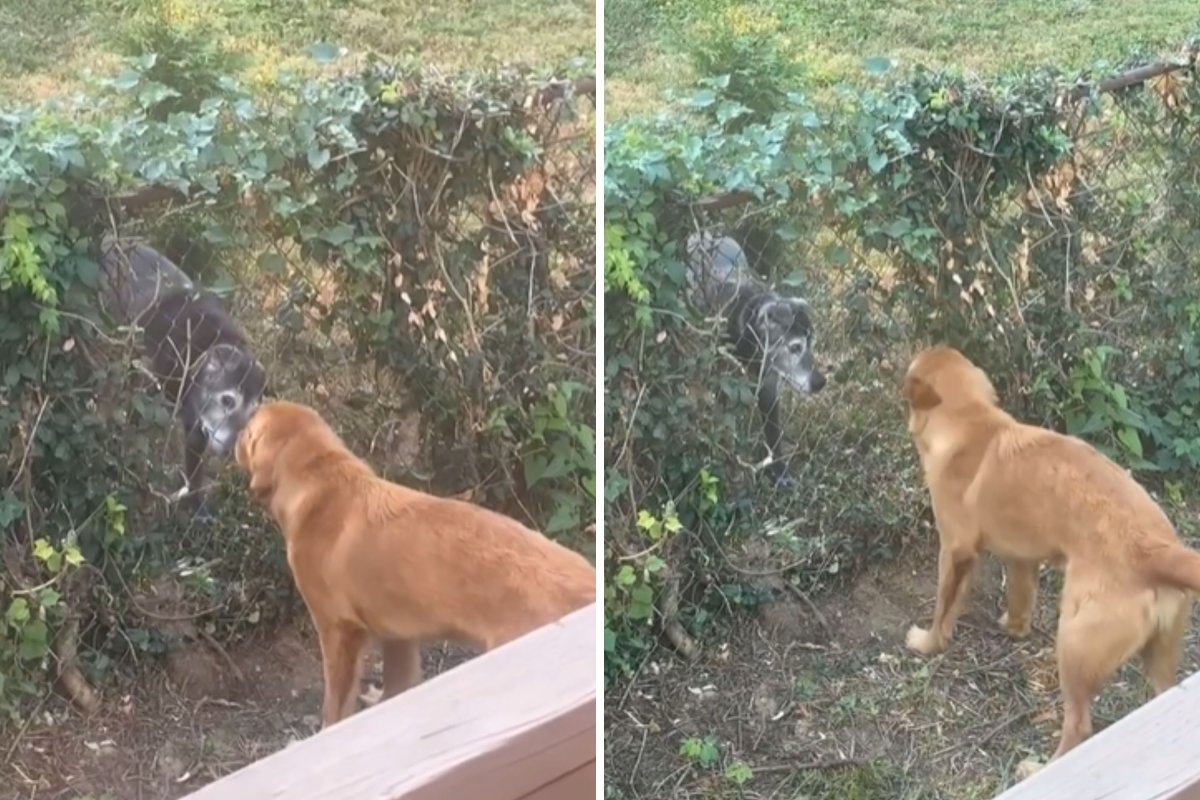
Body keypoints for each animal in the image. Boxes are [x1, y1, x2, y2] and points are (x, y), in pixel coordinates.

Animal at [99, 232, 267, 520]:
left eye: (252, 411)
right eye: (227, 400)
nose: (231, 447)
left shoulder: (197, 427)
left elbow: (194, 470)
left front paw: (198, 507)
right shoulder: (151, 386)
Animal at [234, 398, 595, 724]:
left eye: (250, 427)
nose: (235, 427)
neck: (324, 485)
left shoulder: (338, 628)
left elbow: (335, 708)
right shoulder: (398, 635)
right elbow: (399, 687)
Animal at [686, 227, 825, 484]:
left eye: (812, 344)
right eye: (795, 347)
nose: (821, 382)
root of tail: (707, 232)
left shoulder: (769, 386)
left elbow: (774, 431)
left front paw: (780, 472)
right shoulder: (722, 372)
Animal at [902, 345, 1200, 777]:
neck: (973, 424)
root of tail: (1158, 550)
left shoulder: (955, 550)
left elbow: (943, 608)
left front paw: (928, 643)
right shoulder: (1020, 560)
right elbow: (1020, 603)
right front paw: (1012, 628)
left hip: (1074, 643)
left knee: (1079, 726)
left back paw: (1040, 769)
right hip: (1158, 657)